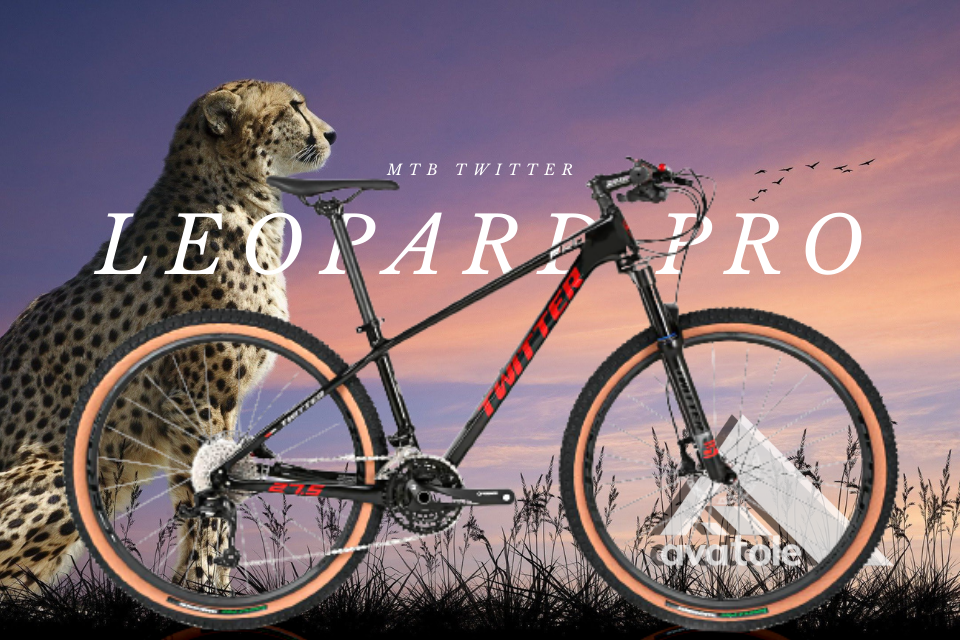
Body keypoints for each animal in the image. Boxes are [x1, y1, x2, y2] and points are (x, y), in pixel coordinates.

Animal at [0, 79, 335, 589]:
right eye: (295, 106)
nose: (332, 134)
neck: (242, 193)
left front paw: (200, 584)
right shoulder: (197, 399)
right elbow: (208, 496)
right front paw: (206, 585)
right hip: (76, 469)